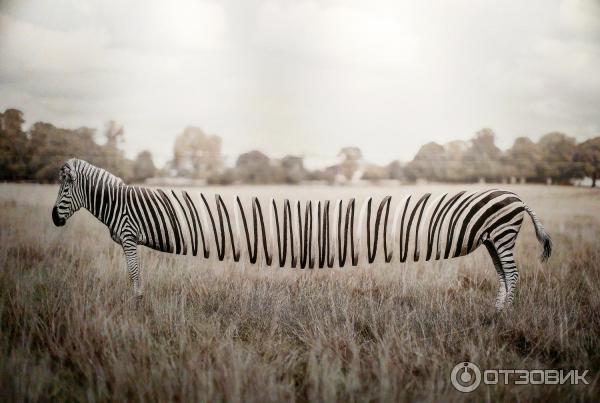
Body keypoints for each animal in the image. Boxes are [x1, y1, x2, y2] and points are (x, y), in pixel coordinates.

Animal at [54, 159, 552, 310]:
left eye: (63, 189)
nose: (55, 221)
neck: (117, 203)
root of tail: (518, 197)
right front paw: (137, 302)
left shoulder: (129, 238)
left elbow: (134, 275)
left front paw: (136, 302)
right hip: (493, 240)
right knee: (505, 277)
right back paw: (496, 311)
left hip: (501, 237)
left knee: (514, 275)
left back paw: (502, 315)